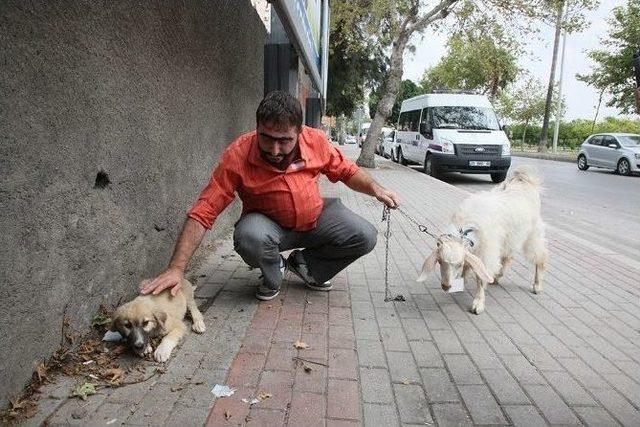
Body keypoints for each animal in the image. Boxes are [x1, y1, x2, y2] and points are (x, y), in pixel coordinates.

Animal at [418, 167, 548, 314]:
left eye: (458, 264)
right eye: (439, 262)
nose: (445, 286)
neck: (466, 229)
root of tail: (526, 182)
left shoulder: (486, 252)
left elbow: (480, 278)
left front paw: (478, 304)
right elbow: (469, 267)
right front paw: (463, 281)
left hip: (533, 234)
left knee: (540, 257)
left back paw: (537, 286)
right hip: (510, 238)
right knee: (507, 257)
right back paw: (497, 277)